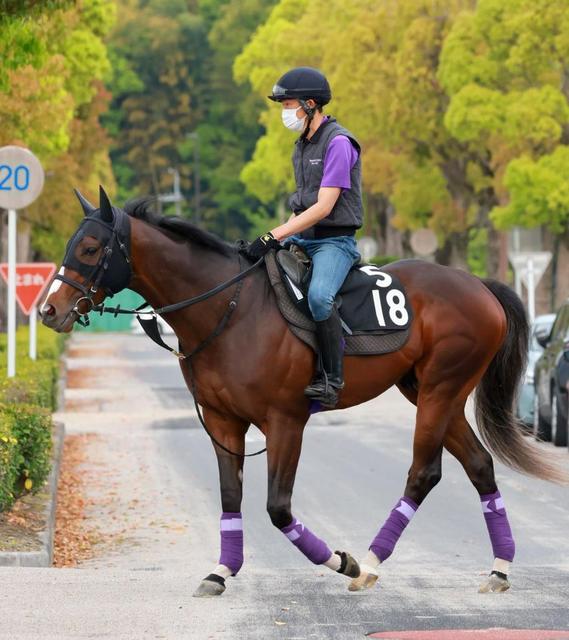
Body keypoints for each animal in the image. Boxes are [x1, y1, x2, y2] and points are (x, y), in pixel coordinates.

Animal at [41, 188, 564, 596]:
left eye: (91, 248)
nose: (49, 310)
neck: (230, 308)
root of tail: (478, 285)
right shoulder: (222, 421)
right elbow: (230, 495)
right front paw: (221, 570)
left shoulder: (285, 422)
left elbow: (277, 508)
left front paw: (342, 562)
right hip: (430, 391)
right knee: (478, 465)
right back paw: (499, 568)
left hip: (441, 388)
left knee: (424, 472)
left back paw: (369, 563)